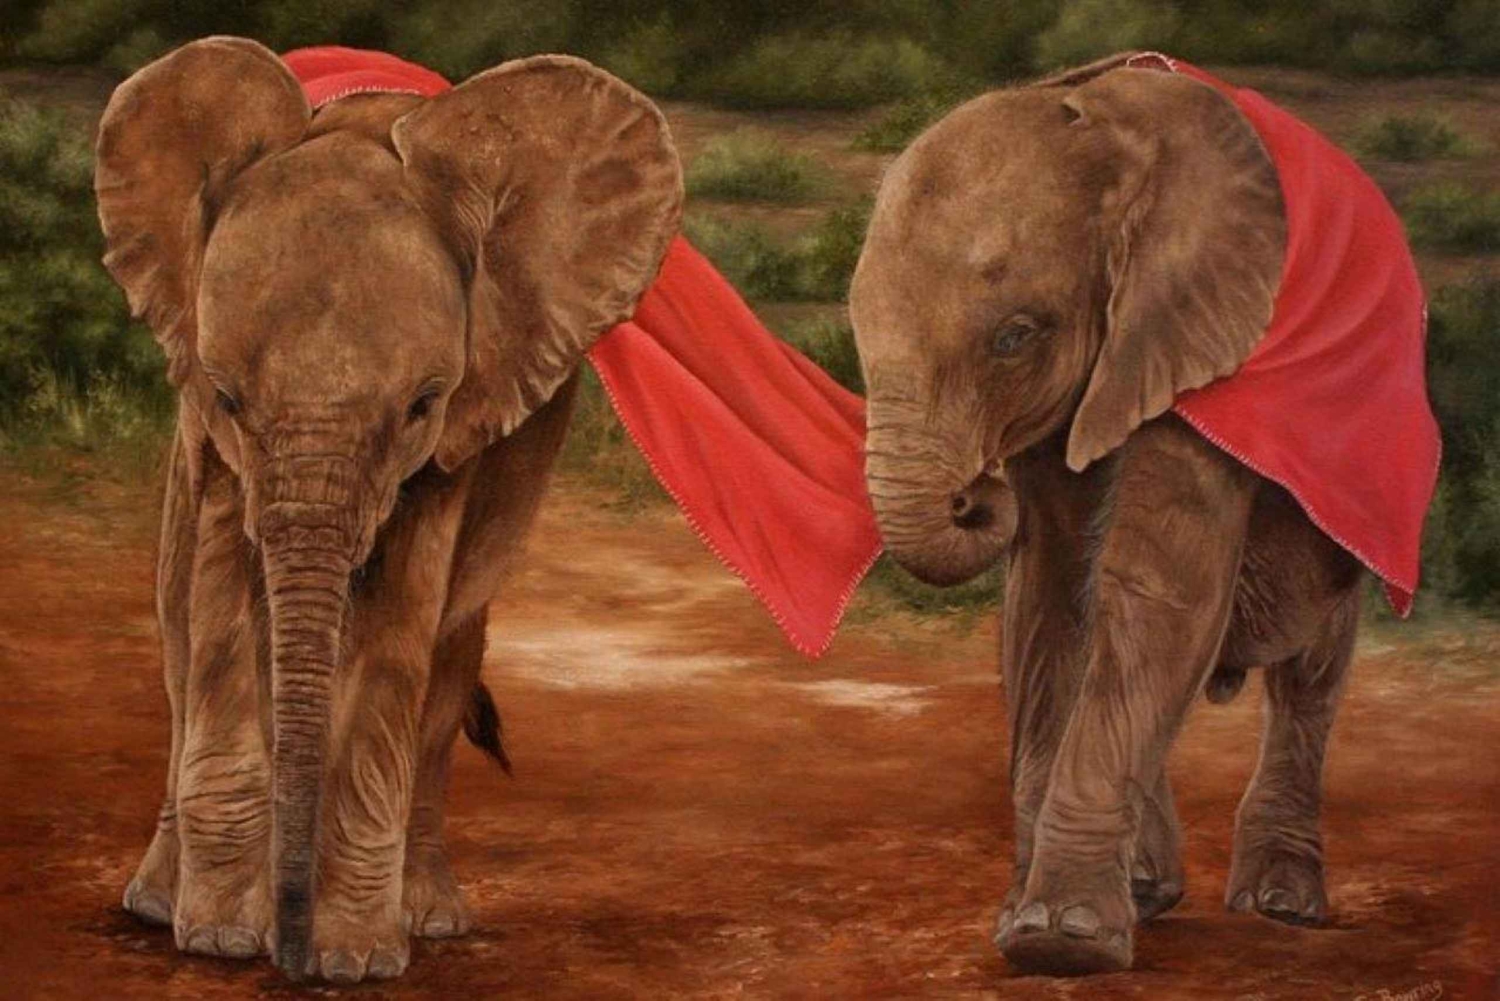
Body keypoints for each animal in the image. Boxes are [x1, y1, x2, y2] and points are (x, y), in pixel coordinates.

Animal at [96, 37, 682, 982]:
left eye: (421, 405)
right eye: (226, 396)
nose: (289, 957)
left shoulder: (465, 424)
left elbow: (401, 635)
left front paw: (354, 960)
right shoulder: (215, 444)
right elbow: (218, 609)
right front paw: (220, 941)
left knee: (445, 669)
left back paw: (433, 918)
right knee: (180, 631)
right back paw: (155, 903)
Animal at [848, 55, 1399, 976]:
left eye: (1016, 337)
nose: (975, 494)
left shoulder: (1198, 334)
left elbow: (1155, 590)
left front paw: (1059, 940)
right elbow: (1050, 596)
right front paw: (1038, 919)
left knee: (1311, 666)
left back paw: (1282, 905)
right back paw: (1150, 891)